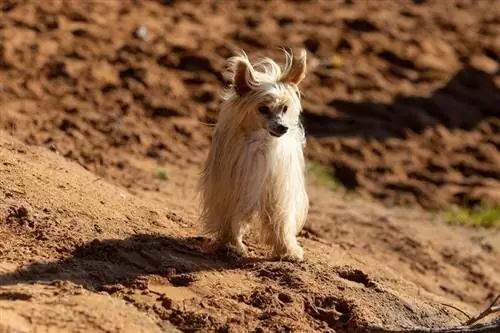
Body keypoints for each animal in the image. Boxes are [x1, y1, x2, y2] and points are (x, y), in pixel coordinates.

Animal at [199, 48, 308, 262]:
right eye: (263, 109)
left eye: (285, 108)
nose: (282, 127)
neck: (261, 143)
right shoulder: (233, 188)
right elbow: (231, 218)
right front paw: (232, 245)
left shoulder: (278, 191)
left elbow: (281, 221)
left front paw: (288, 250)